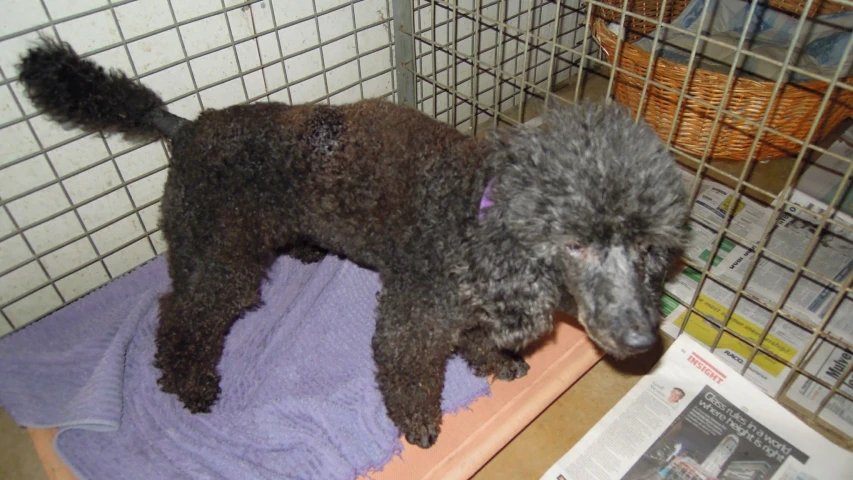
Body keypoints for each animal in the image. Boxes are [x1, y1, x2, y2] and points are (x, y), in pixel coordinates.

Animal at [16, 40, 688, 446]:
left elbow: (477, 337)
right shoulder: (411, 321)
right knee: (181, 316)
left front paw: (496, 362)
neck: (477, 213)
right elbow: (408, 373)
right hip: (224, 257)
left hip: (215, 238)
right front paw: (419, 424)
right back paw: (191, 383)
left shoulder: (471, 305)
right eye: (575, 244)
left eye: (648, 248)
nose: (642, 340)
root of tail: (185, 126)